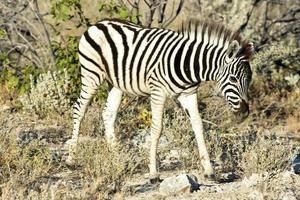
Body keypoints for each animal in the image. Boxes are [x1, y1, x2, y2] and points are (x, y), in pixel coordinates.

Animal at [65, 18, 253, 180]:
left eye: (249, 80)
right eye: (233, 79)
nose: (244, 113)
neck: (188, 65)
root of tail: (99, 23)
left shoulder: (189, 94)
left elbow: (198, 126)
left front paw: (209, 171)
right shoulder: (158, 92)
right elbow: (157, 129)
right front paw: (154, 173)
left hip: (115, 83)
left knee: (108, 114)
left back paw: (116, 159)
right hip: (91, 74)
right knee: (79, 109)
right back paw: (71, 159)